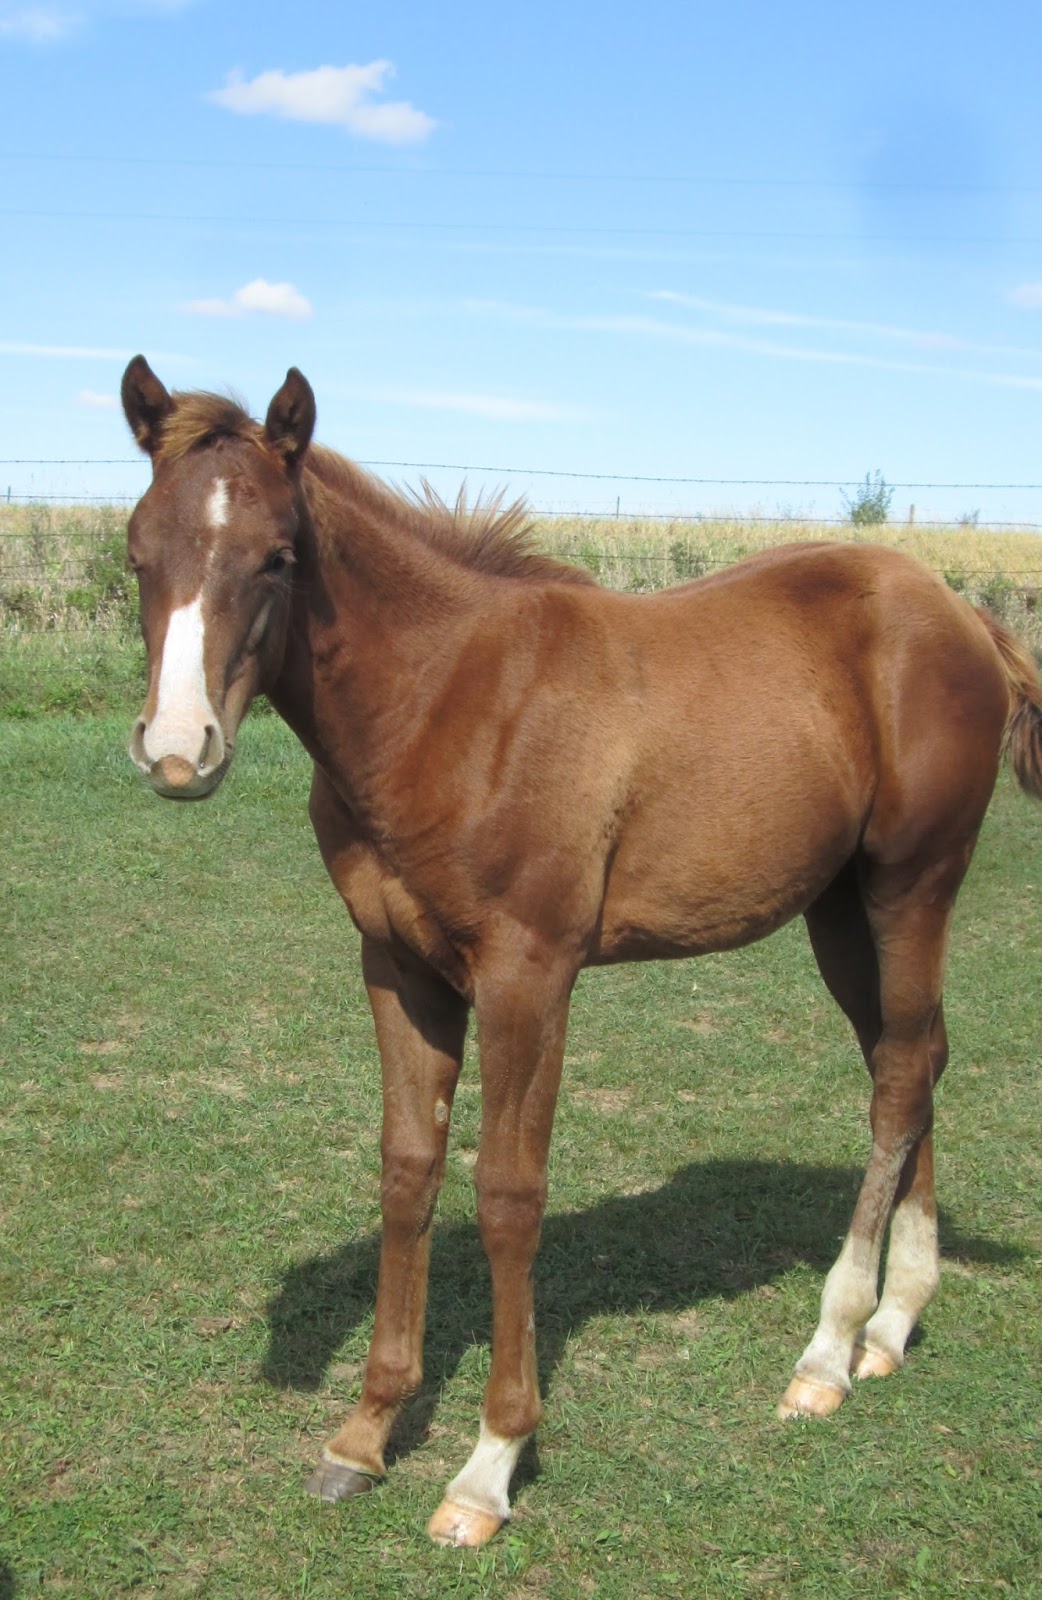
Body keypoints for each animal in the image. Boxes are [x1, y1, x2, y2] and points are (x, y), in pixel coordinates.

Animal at [120, 356, 1042, 1548]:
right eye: (138, 552)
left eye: (278, 555)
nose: (178, 752)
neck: (448, 701)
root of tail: (963, 613)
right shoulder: (397, 970)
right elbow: (408, 1171)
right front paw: (364, 1433)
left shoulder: (529, 974)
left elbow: (508, 1193)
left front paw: (489, 1463)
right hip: (839, 910)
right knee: (913, 1056)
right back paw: (893, 1322)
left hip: (911, 884)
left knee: (896, 1080)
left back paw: (829, 1349)